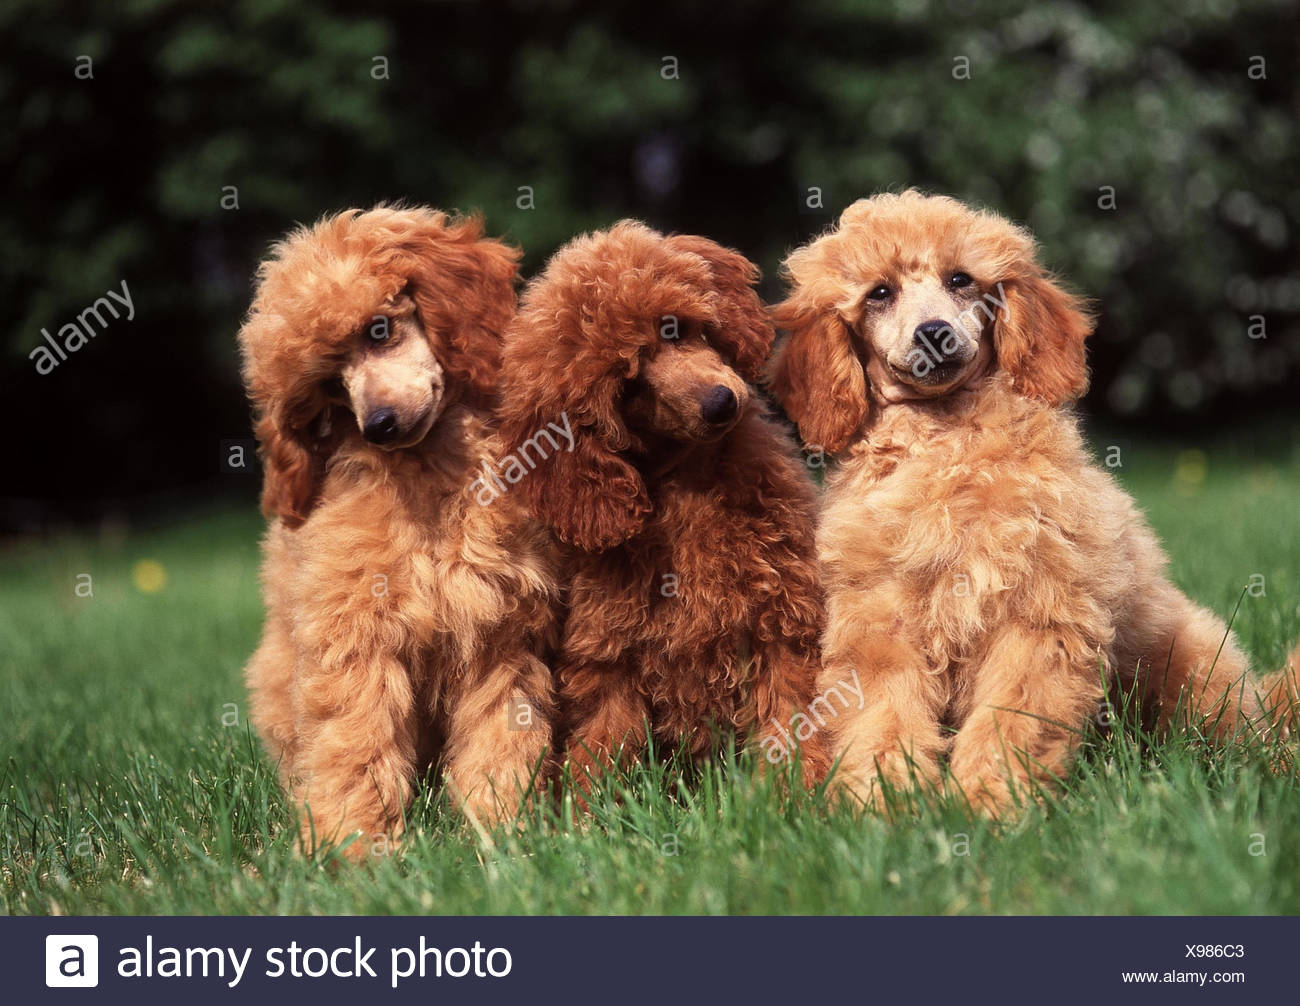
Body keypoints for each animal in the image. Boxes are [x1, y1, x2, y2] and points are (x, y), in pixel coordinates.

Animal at [241, 206, 556, 857]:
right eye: (329, 385)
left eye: (379, 329)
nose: (380, 425)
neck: (427, 479)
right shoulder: (356, 635)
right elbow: (355, 742)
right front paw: (350, 848)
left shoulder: (500, 632)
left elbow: (503, 735)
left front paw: (501, 831)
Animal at [491, 220, 826, 795]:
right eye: (628, 386)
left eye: (674, 329)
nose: (719, 404)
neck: (688, 486)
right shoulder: (609, 658)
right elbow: (603, 748)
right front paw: (589, 813)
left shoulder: (783, 625)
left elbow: (790, 718)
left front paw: (800, 795)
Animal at [769, 191, 1300, 821]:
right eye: (879, 293)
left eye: (961, 280)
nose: (934, 333)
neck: (948, 445)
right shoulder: (879, 625)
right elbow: (882, 717)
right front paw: (882, 806)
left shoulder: (1038, 616)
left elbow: (1012, 720)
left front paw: (987, 807)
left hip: (1196, 670)